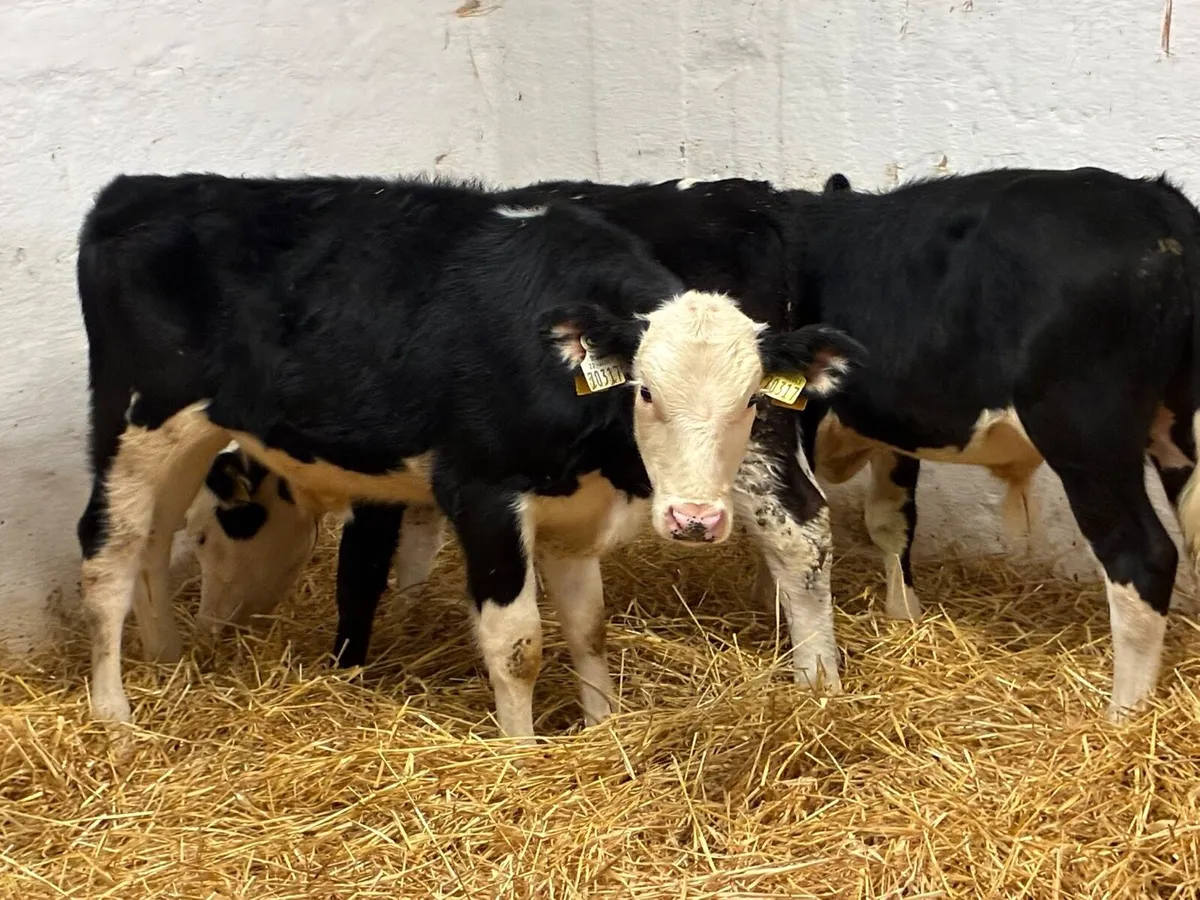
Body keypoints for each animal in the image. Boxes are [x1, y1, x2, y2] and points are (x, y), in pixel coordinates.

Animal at [75, 172, 864, 739]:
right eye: (644, 391)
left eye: (752, 398)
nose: (695, 520)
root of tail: (136, 188)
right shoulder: (481, 491)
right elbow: (515, 641)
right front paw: (523, 753)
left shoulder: (572, 509)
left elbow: (587, 626)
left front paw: (602, 727)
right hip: (137, 419)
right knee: (110, 550)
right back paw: (117, 714)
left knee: (145, 541)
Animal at [786, 166, 1200, 721]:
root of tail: (1156, 201)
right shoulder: (897, 433)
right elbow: (891, 520)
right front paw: (905, 617)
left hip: (1087, 440)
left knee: (1140, 556)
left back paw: (1123, 716)